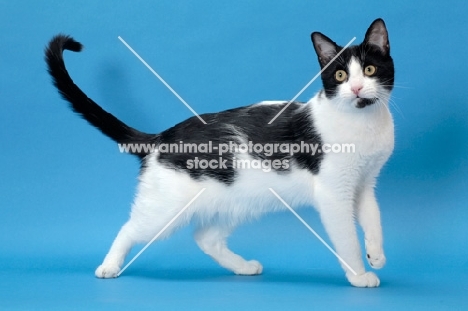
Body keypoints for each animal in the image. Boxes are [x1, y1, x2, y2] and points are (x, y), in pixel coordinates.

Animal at [44, 18, 394, 288]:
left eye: (370, 69)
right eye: (341, 76)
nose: (357, 89)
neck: (363, 125)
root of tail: (160, 138)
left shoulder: (364, 184)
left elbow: (374, 219)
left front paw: (376, 255)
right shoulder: (334, 194)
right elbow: (347, 238)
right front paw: (359, 275)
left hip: (238, 201)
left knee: (206, 238)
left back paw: (243, 267)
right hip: (165, 210)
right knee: (129, 229)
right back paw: (109, 266)